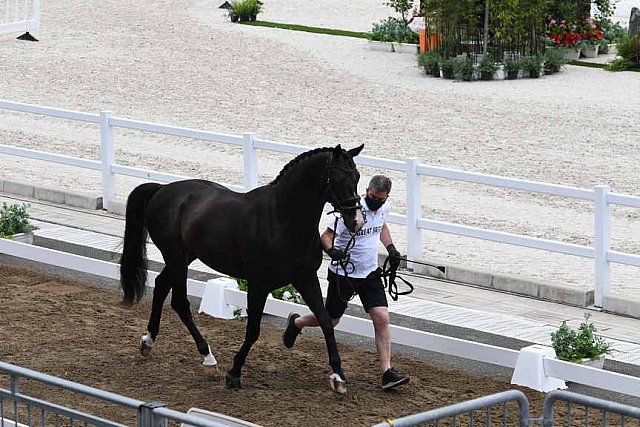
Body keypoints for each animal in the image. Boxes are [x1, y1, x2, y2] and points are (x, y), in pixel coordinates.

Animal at [117, 145, 362, 394]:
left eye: (357, 176)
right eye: (338, 178)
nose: (356, 221)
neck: (281, 220)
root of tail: (162, 189)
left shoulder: (305, 278)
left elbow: (325, 322)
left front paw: (338, 376)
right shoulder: (259, 285)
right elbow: (253, 330)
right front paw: (234, 373)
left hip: (185, 256)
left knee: (161, 286)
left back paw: (148, 341)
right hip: (175, 256)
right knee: (179, 302)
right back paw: (208, 358)